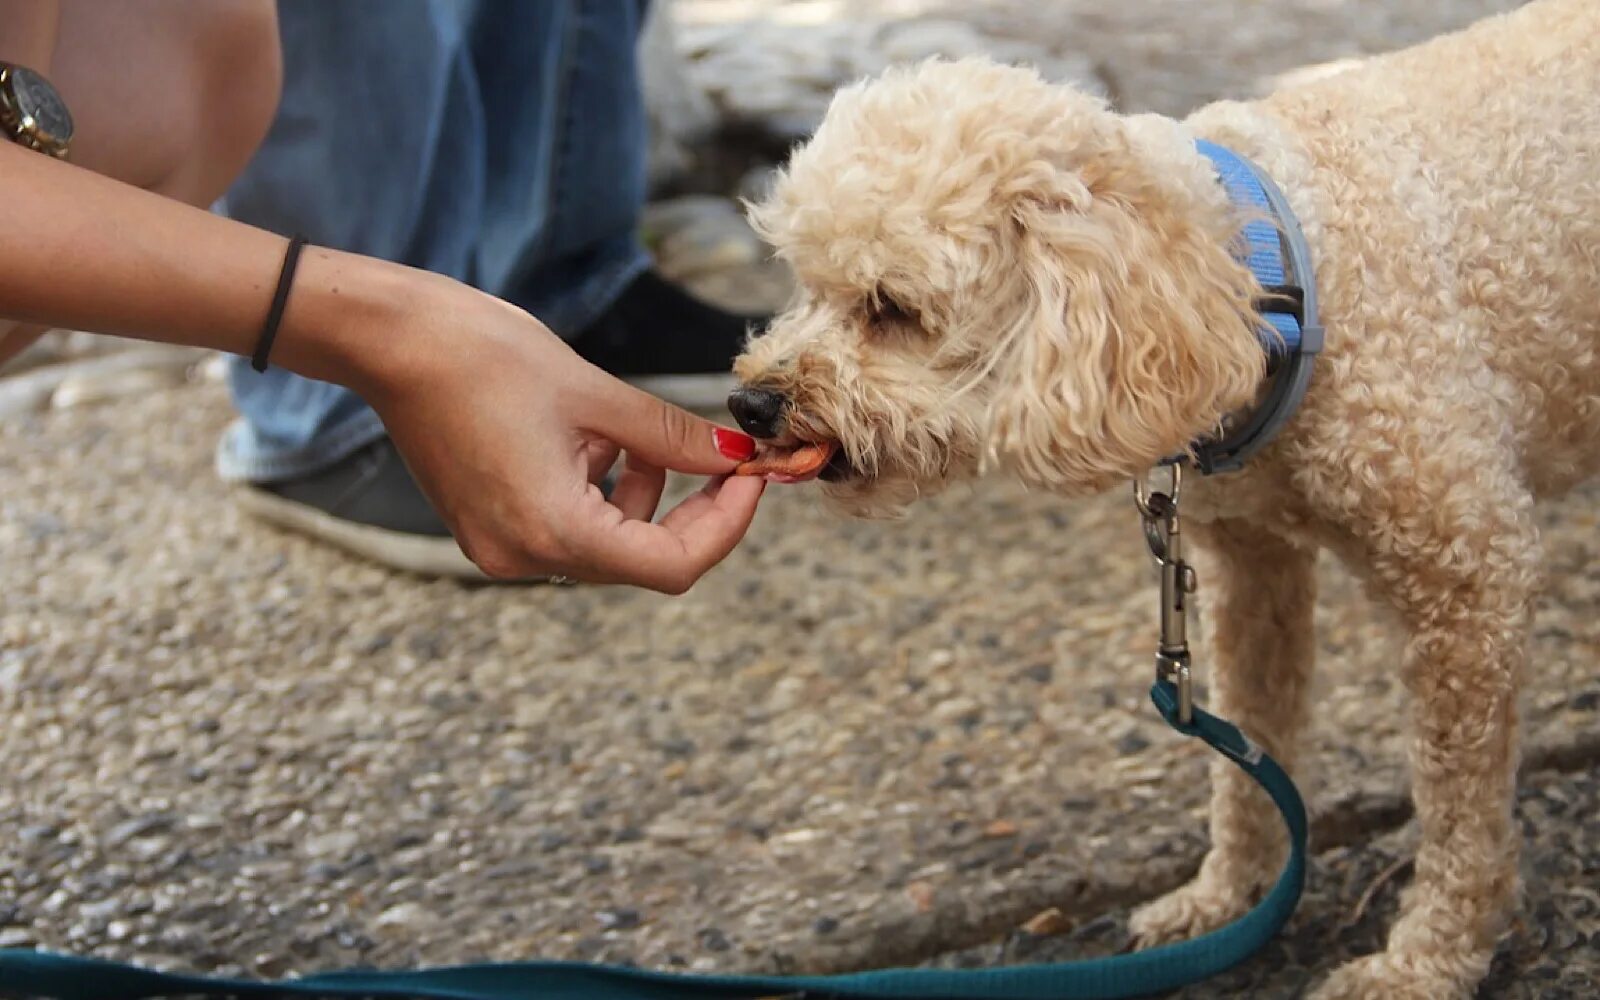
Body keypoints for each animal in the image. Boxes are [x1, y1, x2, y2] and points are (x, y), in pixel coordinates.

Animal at [729, 3, 1600, 992]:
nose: (750, 403)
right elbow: (1250, 750)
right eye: (803, 284)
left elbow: (1460, 815)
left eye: (891, 308)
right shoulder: (1253, 569)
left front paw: (1427, 960)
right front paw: (1228, 895)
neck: (1277, 281)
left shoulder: (1467, 583)